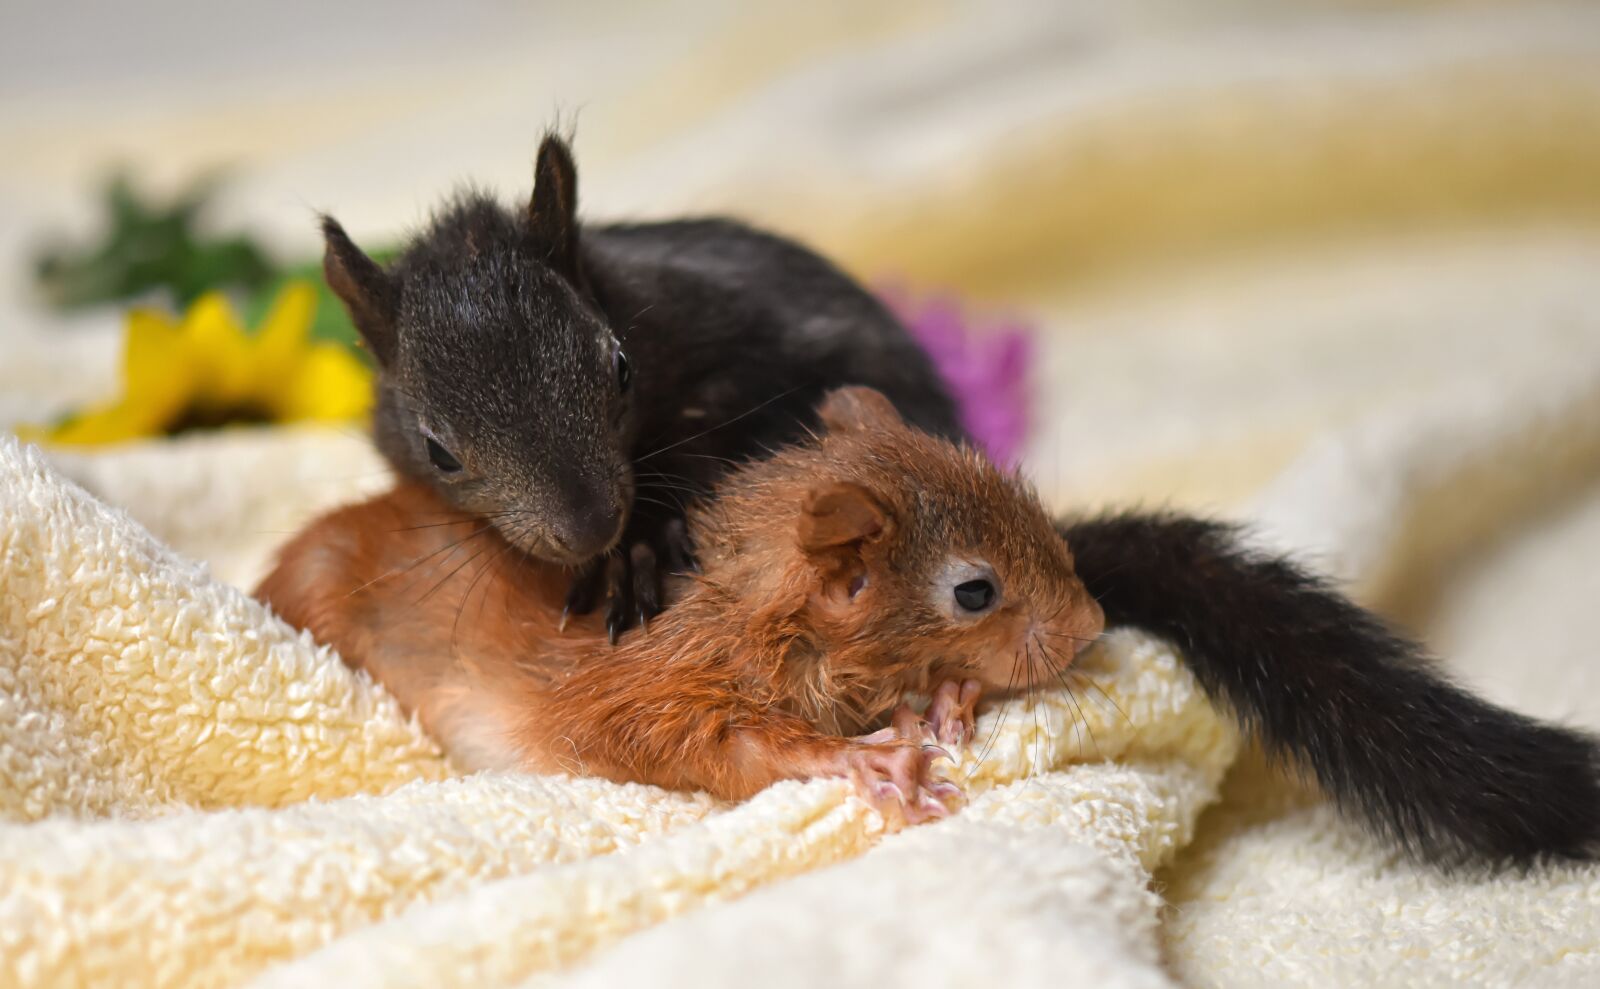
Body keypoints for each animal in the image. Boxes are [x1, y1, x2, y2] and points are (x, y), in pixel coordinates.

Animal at [257, 387, 1105, 825]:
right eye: (975, 591)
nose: (1093, 627)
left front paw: (947, 697)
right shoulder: (652, 691)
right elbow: (722, 749)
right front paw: (865, 757)